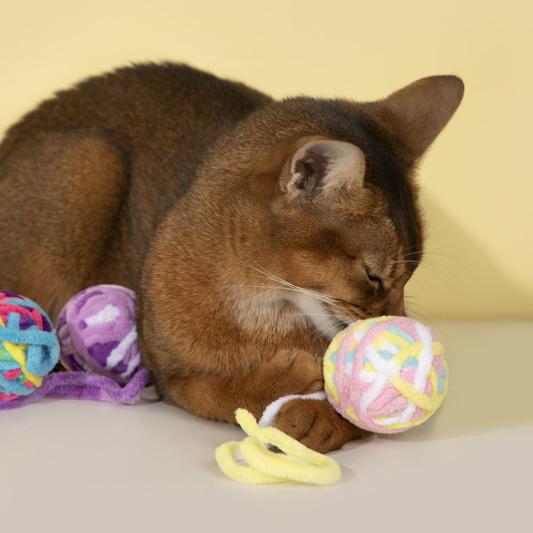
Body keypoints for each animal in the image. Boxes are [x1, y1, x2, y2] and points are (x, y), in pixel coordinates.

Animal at [0, 64, 462, 450]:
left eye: (409, 277)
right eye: (373, 275)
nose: (395, 321)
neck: (261, 305)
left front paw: (320, 420)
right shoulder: (172, 377)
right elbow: (219, 391)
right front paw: (284, 381)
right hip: (92, 160)